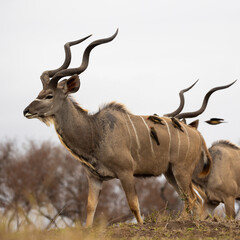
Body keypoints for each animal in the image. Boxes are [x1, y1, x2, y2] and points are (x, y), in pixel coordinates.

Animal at [23, 29, 233, 225]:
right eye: (39, 93)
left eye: (49, 95)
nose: (26, 111)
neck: (95, 131)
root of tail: (197, 134)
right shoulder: (94, 177)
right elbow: (90, 208)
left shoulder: (126, 172)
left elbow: (134, 205)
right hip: (170, 173)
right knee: (194, 200)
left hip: (181, 171)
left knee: (191, 199)